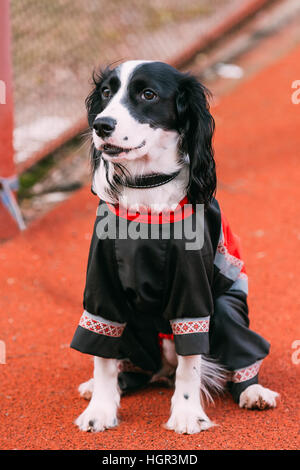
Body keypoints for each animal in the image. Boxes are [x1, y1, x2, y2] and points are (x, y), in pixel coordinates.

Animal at [71, 60, 278, 436]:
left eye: (148, 94)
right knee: (131, 368)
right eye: (106, 93)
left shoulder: (192, 294)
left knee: (237, 355)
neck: (147, 191)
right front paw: (100, 410)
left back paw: (252, 390)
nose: (101, 125)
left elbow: (190, 365)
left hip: (225, 308)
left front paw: (186, 414)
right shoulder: (102, 289)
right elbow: (102, 356)